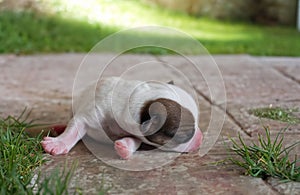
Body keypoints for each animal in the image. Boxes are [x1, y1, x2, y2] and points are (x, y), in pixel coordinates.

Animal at [41, 77, 203, 159]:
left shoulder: (137, 132)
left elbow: (135, 141)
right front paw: (58, 144)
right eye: (185, 136)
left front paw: (124, 147)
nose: (201, 138)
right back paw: (59, 128)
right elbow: (74, 129)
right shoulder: (89, 115)